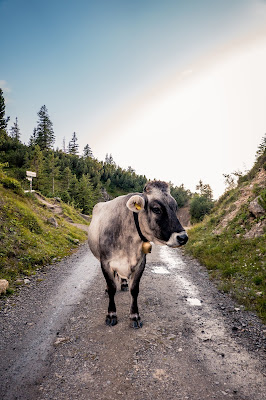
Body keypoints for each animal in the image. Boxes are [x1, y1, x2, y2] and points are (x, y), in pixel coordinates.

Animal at [88, 180, 188, 328]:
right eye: (156, 209)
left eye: (175, 208)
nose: (183, 237)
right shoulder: (105, 262)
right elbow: (112, 287)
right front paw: (111, 314)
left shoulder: (141, 263)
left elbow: (134, 290)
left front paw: (134, 316)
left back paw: (124, 284)